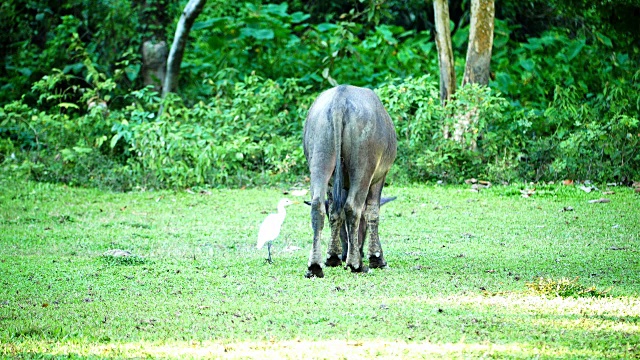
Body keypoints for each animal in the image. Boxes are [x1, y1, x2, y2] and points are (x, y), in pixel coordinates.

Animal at [304, 85, 396, 278]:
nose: (349, 251)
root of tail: (340, 99)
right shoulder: (380, 178)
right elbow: (372, 213)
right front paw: (377, 258)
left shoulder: (332, 184)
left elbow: (334, 214)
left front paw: (332, 256)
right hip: (363, 168)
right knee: (353, 207)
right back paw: (356, 264)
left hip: (320, 159)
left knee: (318, 206)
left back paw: (315, 266)